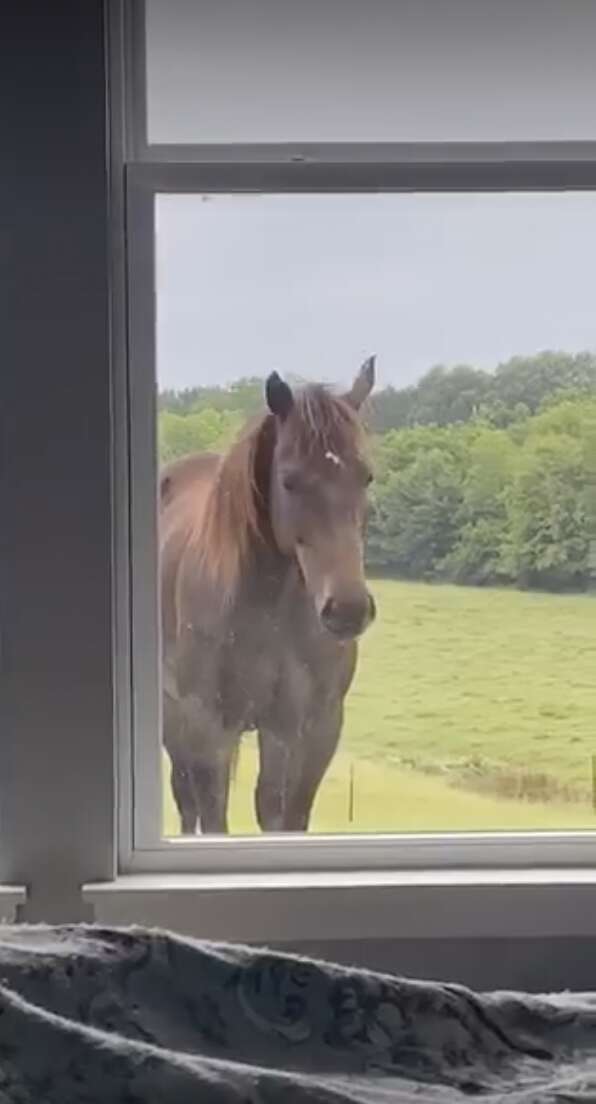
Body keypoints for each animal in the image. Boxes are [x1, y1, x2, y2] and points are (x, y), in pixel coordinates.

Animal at [159, 357, 377, 835]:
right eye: (289, 481)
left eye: (367, 476)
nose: (348, 609)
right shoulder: (208, 722)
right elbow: (213, 812)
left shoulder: (308, 727)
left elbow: (281, 811)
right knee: (185, 797)